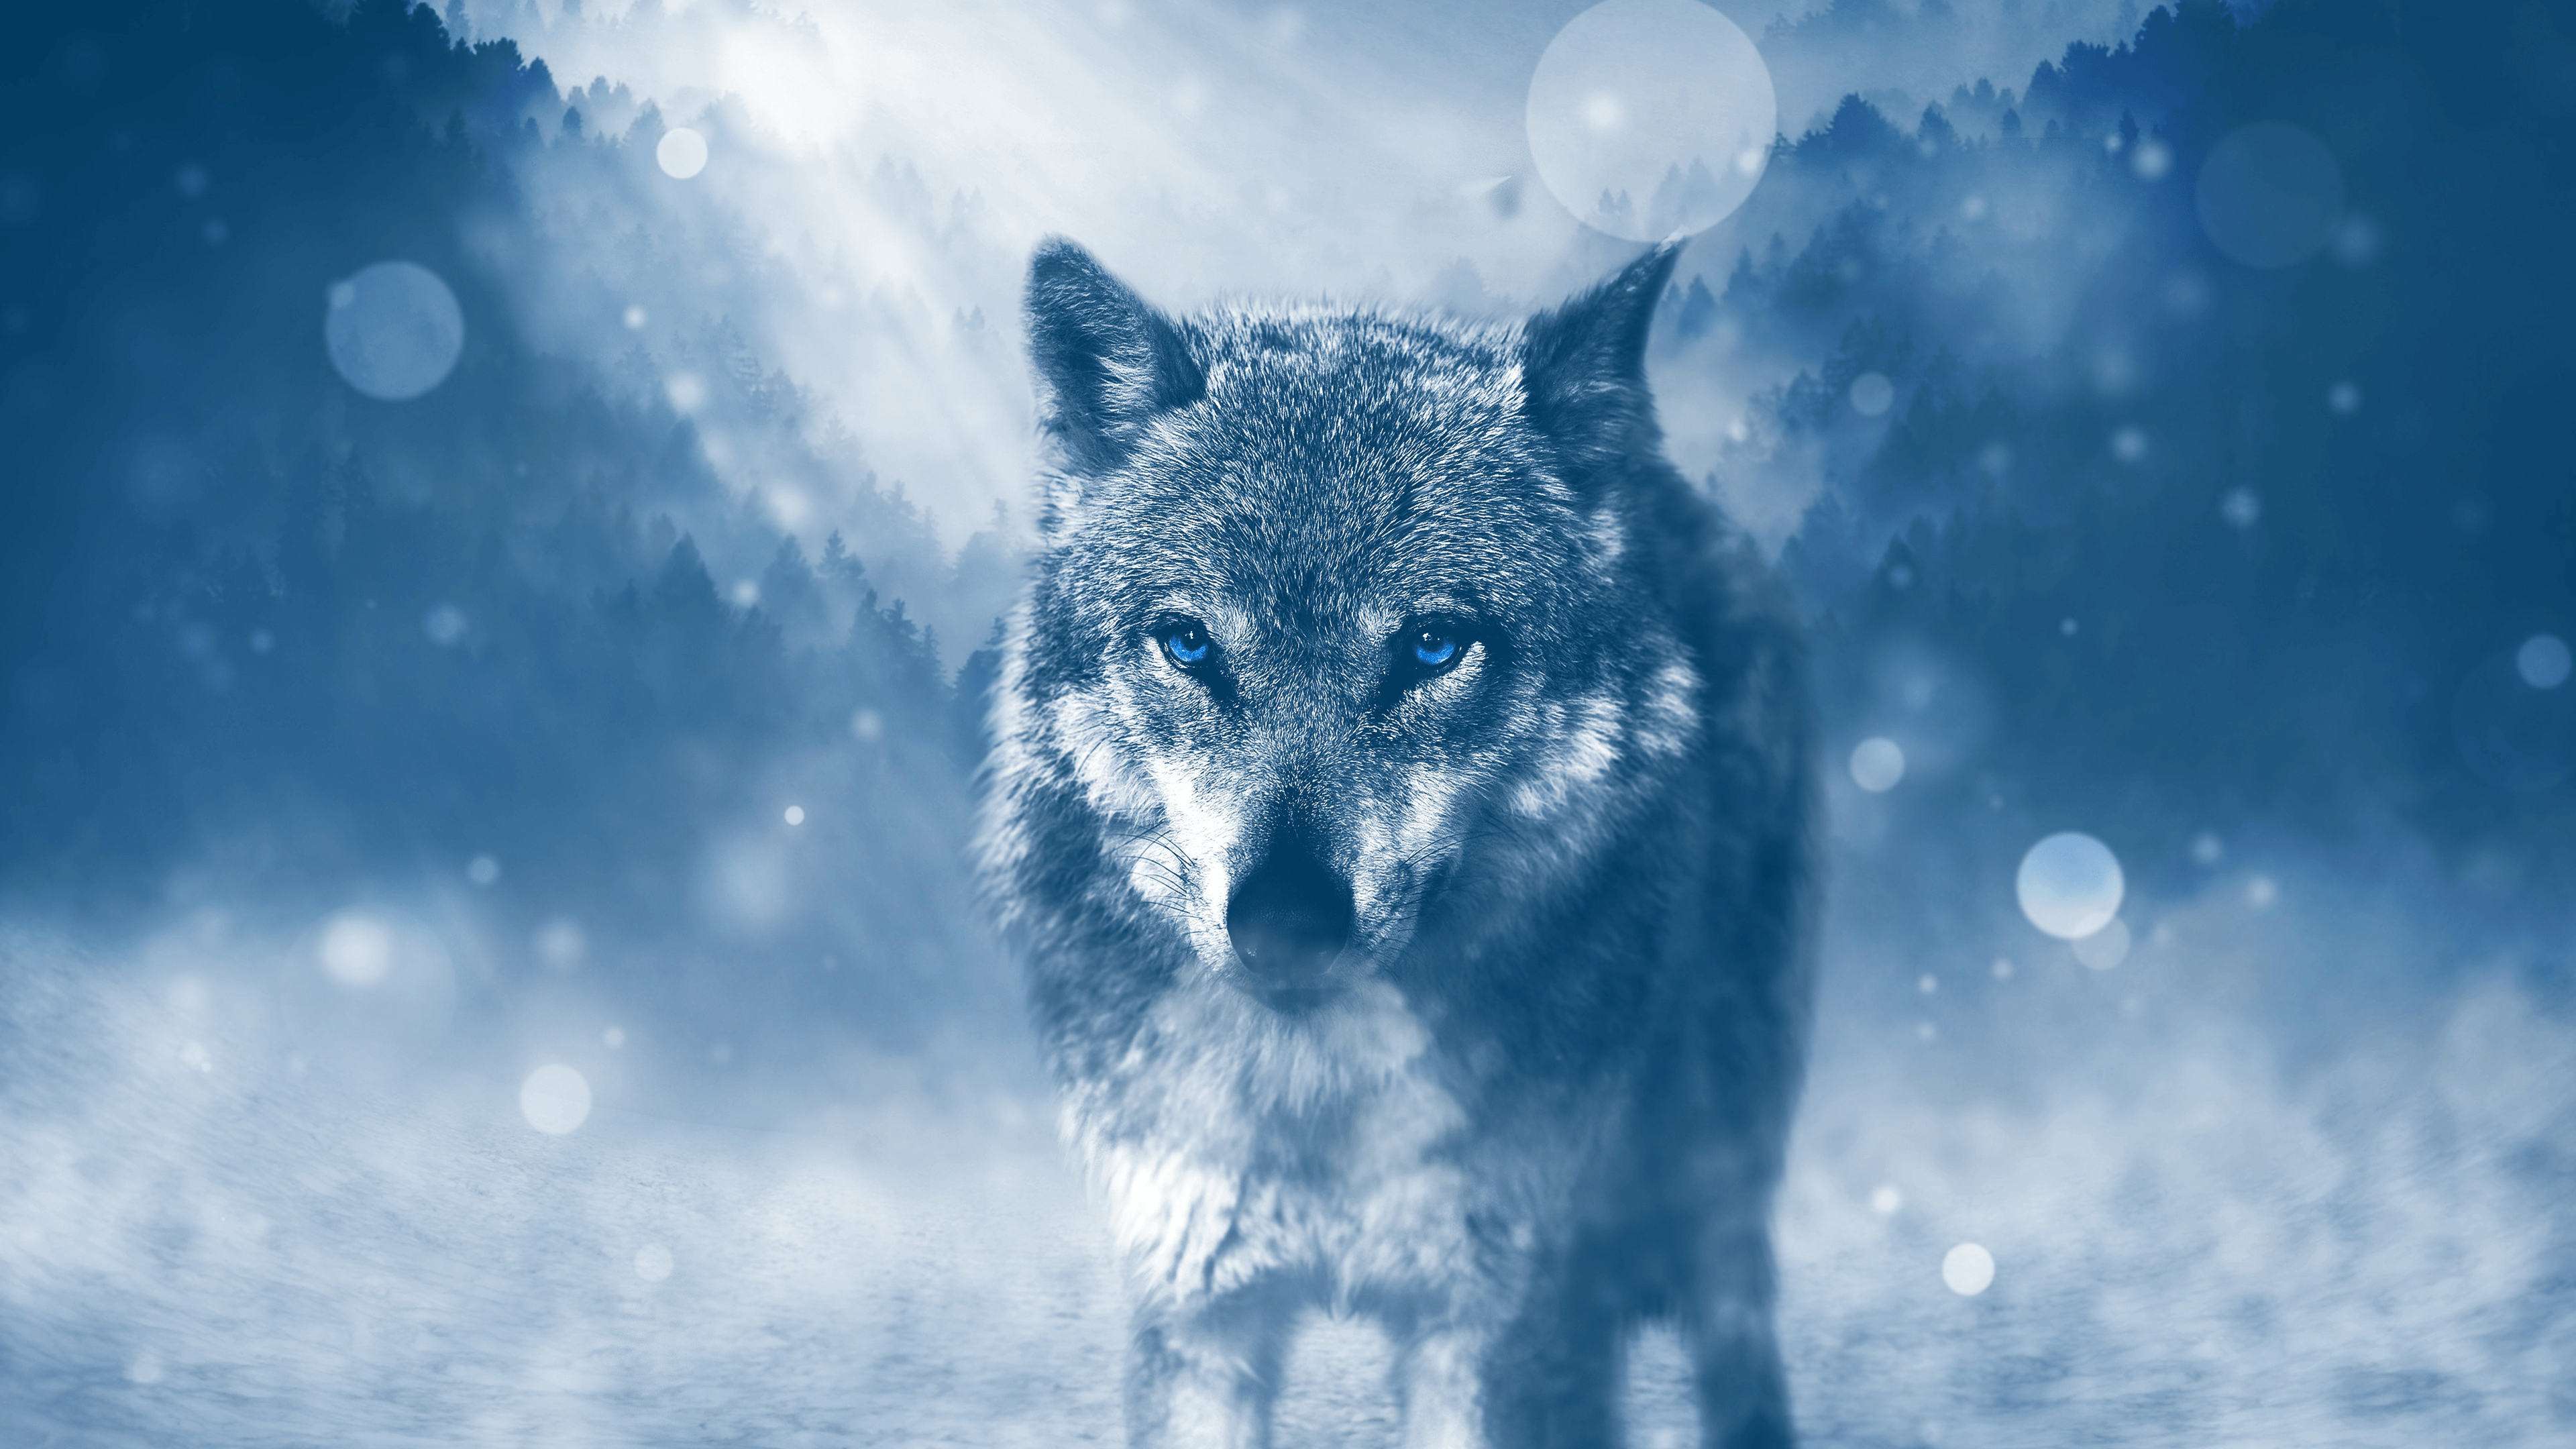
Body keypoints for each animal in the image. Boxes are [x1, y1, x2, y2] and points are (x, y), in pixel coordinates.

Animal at [976, 237, 1818, 1449]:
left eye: (1432, 645)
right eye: (1189, 644)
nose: (1284, 922)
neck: (1319, 1098)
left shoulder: (1500, 1323)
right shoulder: (1197, 1307)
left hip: (1716, 1155)